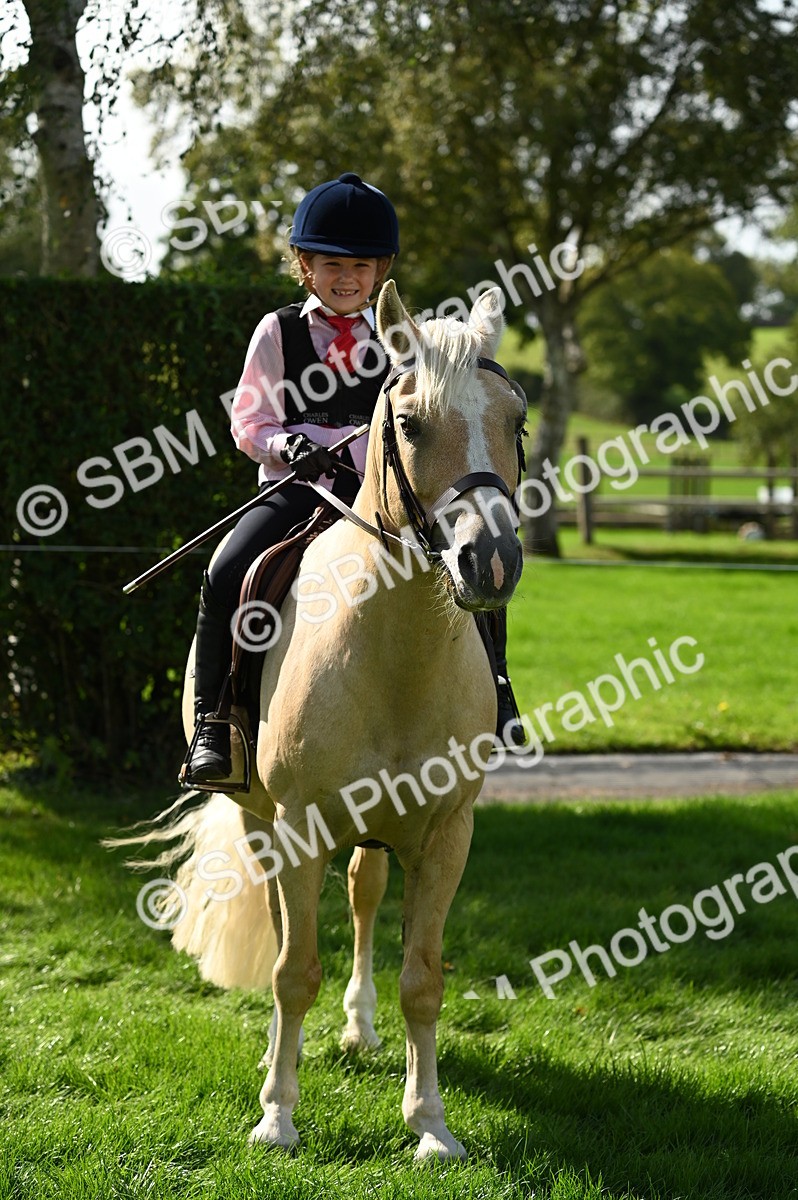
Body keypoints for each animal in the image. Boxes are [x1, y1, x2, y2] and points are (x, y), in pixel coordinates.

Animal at [124, 280, 527, 1162]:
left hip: (376, 832)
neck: (395, 649)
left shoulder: (446, 833)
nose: (491, 562)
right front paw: (277, 1115)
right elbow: (292, 969)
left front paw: (431, 1125)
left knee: (364, 896)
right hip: (262, 819)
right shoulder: (299, 823)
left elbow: (424, 979)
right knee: (286, 930)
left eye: (516, 420)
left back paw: (359, 1029)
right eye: (409, 425)